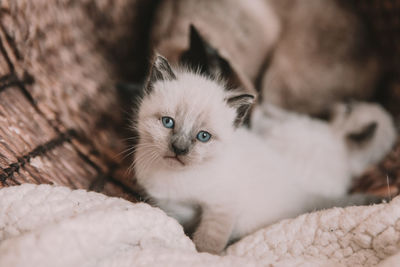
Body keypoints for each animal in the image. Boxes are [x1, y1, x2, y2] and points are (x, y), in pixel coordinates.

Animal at [133, 55, 396, 254]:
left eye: (203, 136)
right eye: (168, 122)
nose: (179, 149)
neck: (176, 178)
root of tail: (299, 190)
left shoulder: (222, 206)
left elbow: (209, 241)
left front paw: (203, 255)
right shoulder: (169, 206)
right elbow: (179, 227)